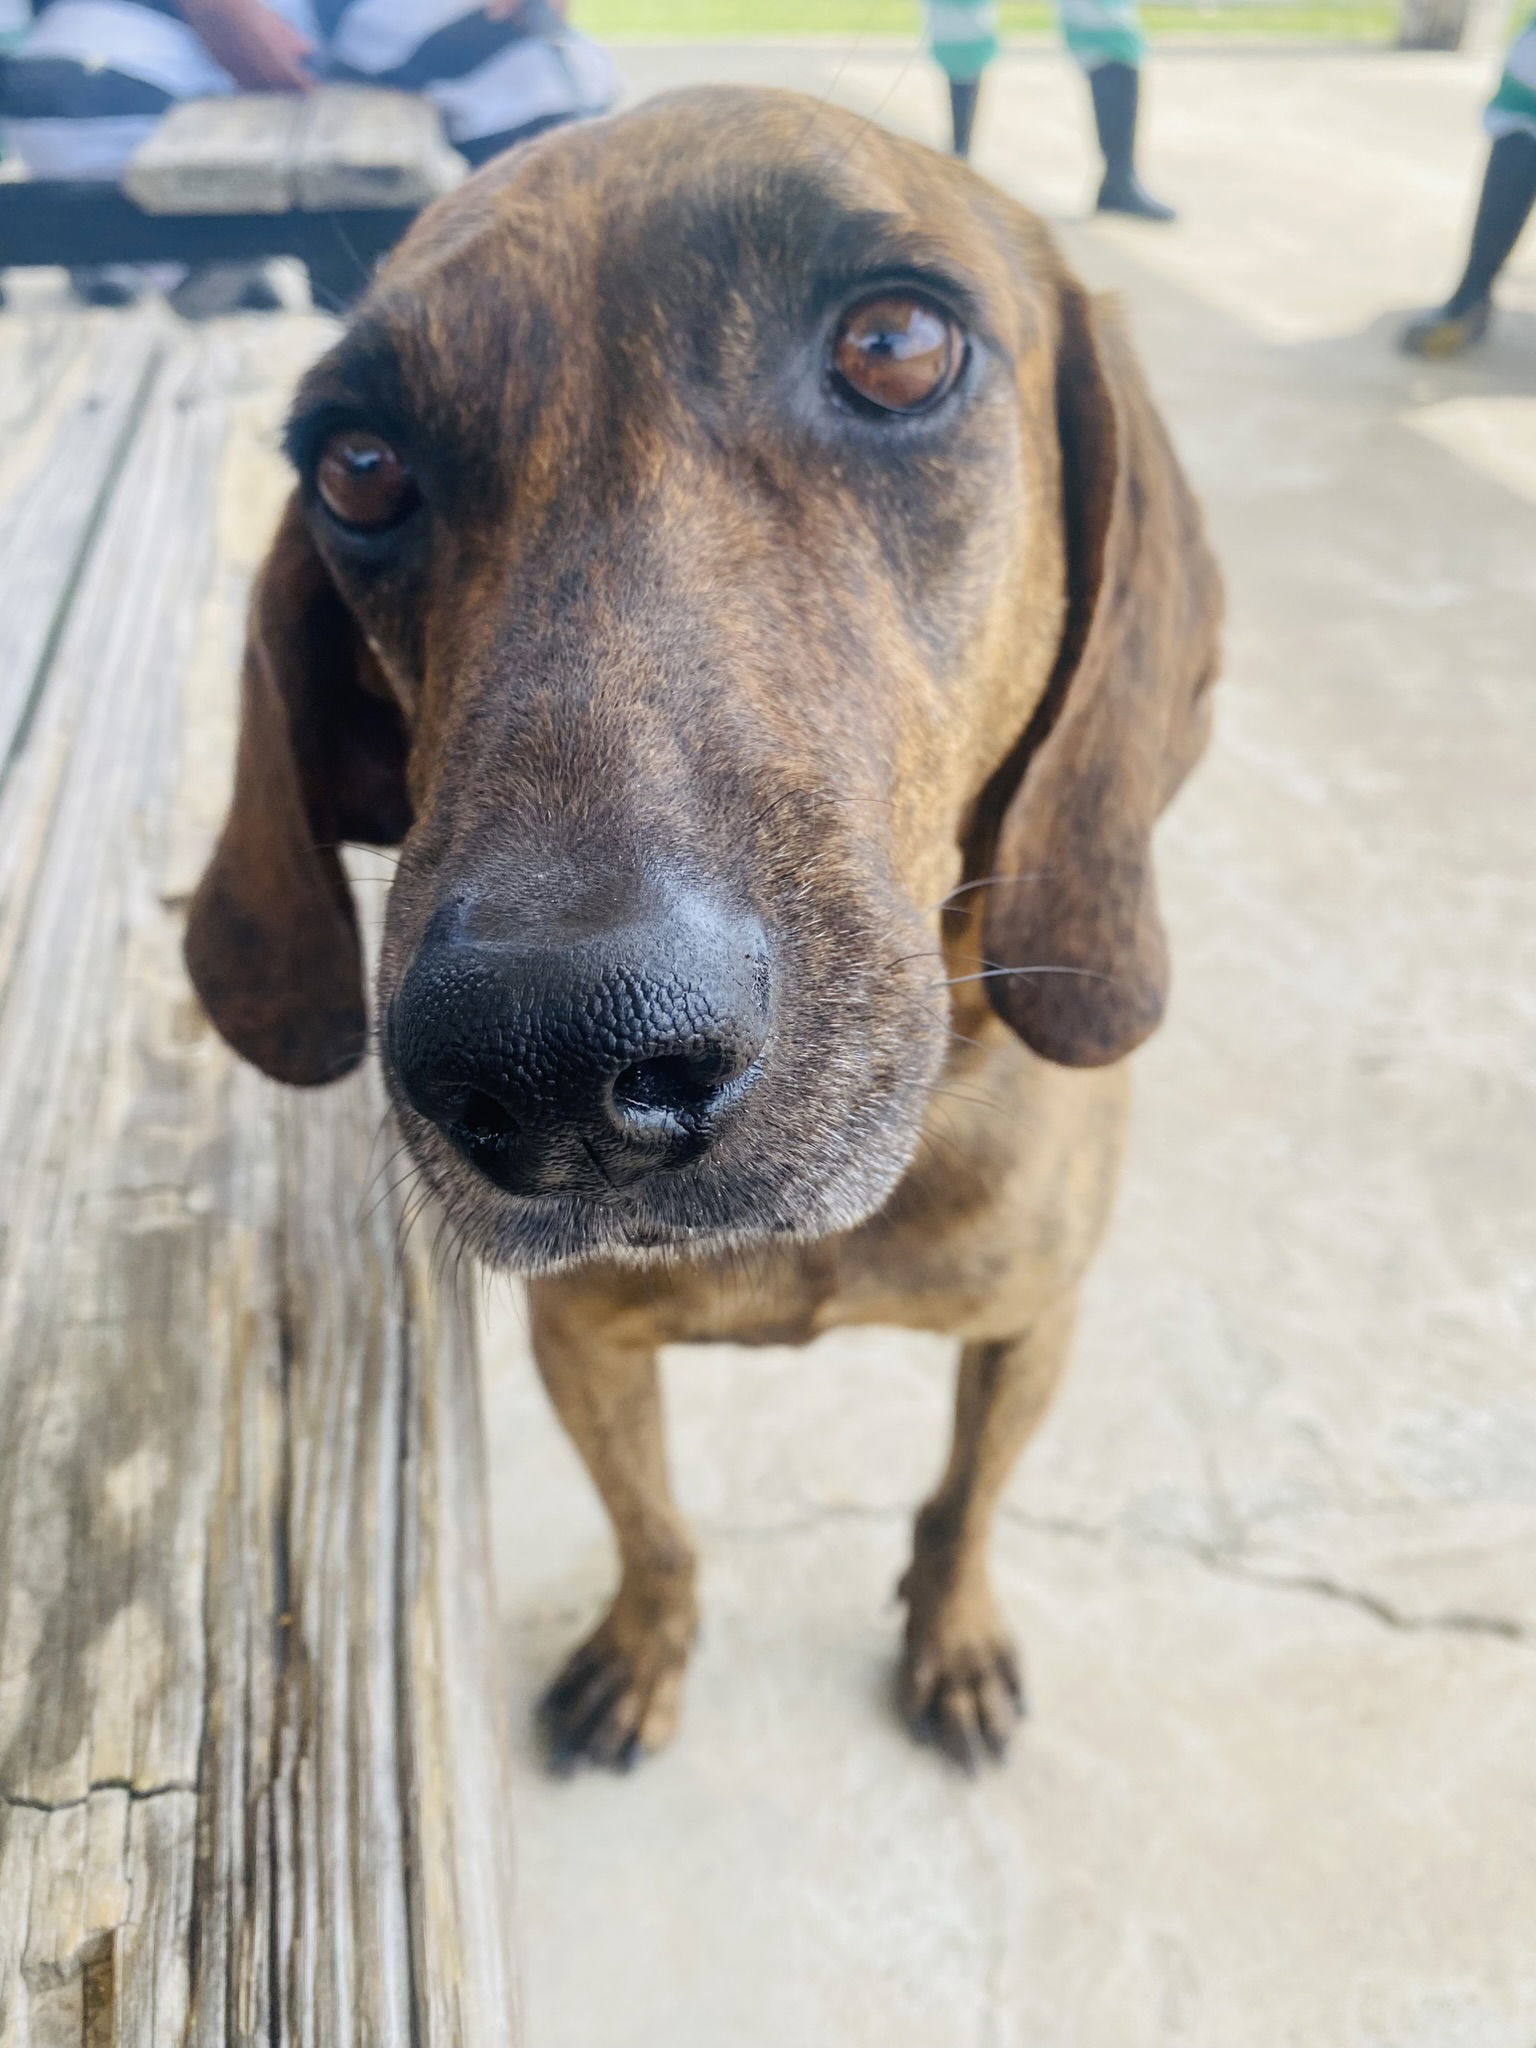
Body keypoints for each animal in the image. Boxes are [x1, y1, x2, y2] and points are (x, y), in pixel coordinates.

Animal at [183, 88, 1212, 1769]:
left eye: (897, 348)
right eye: (358, 465)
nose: (546, 1061)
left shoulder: (1031, 1325)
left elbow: (964, 1502)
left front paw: (951, 1630)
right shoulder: (583, 1342)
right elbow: (655, 1527)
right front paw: (643, 1648)